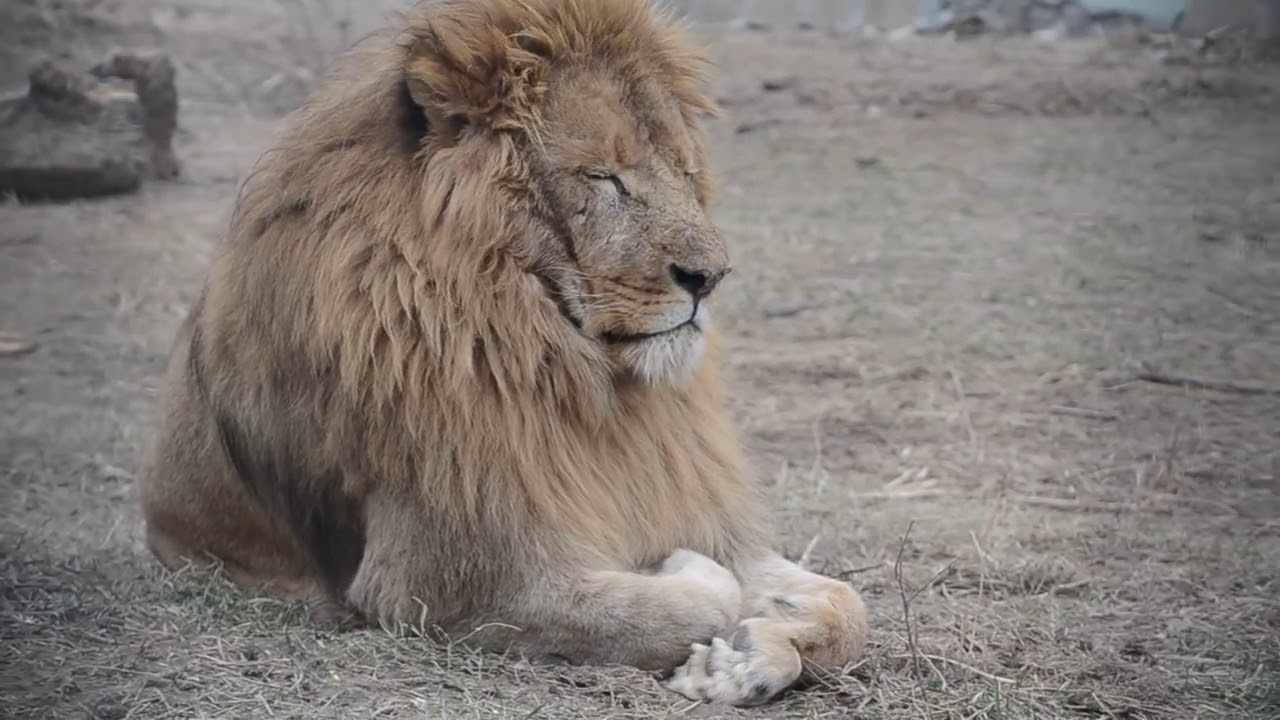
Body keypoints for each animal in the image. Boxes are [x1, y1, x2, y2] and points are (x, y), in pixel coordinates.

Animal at [136, 0, 868, 706]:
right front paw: (695, 592)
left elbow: (849, 604)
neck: (578, 378)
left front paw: (746, 656)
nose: (711, 276)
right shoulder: (447, 583)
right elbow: (692, 600)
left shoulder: (676, 497)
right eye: (604, 178)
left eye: (686, 172)